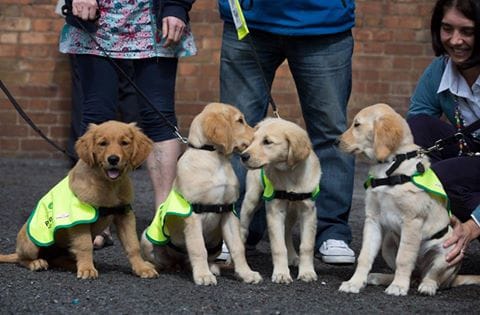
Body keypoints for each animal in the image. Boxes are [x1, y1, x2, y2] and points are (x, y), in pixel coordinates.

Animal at [0, 121, 158, 278]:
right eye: (103, 143)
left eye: (124, 143)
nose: (113, 159)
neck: (108, 185)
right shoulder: (80, 219)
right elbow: (85, 245)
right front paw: (87, 269)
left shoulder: (124, 214)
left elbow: (133, 245)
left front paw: (142, 268)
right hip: (31, 243)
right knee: (22, 259)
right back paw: (36, 263)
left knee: (57, 259)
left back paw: (73, 264)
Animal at [141, 103, 262, 286]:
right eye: (240, 121)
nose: (258, 136)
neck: (214, 158)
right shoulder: (192, 214)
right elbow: (198, 248)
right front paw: (203, 276)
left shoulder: (228, 212)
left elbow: (237, 247)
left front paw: (246, 273)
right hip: (147, 237)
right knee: (164, 259)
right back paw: (157, 266)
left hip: (217, 243)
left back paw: (210, 267)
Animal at [240, 118, 322, 284]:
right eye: (253, 140)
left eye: (267, 142)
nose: (243, 156)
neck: (290, 174)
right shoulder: (275, 210)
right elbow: (278, 247)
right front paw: (281, 274)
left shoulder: (308, 211)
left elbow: (307, 245)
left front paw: (307, 272)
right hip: (251, 200)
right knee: (243, 229)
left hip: (292, 212)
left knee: (287, 232)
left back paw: (293, 257)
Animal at [336, 103, 480, 296]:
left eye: (357, 125)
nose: (335, 142)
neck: (390, 167)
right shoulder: (372, 220)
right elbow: (365, 256)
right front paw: (355, 282)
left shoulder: (412, 222)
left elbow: (404, 259)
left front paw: (398, 286)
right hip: (388, 244)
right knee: (412, 275)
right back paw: (381, 277)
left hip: (447, 251)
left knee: (433, 277)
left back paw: (426, 286)